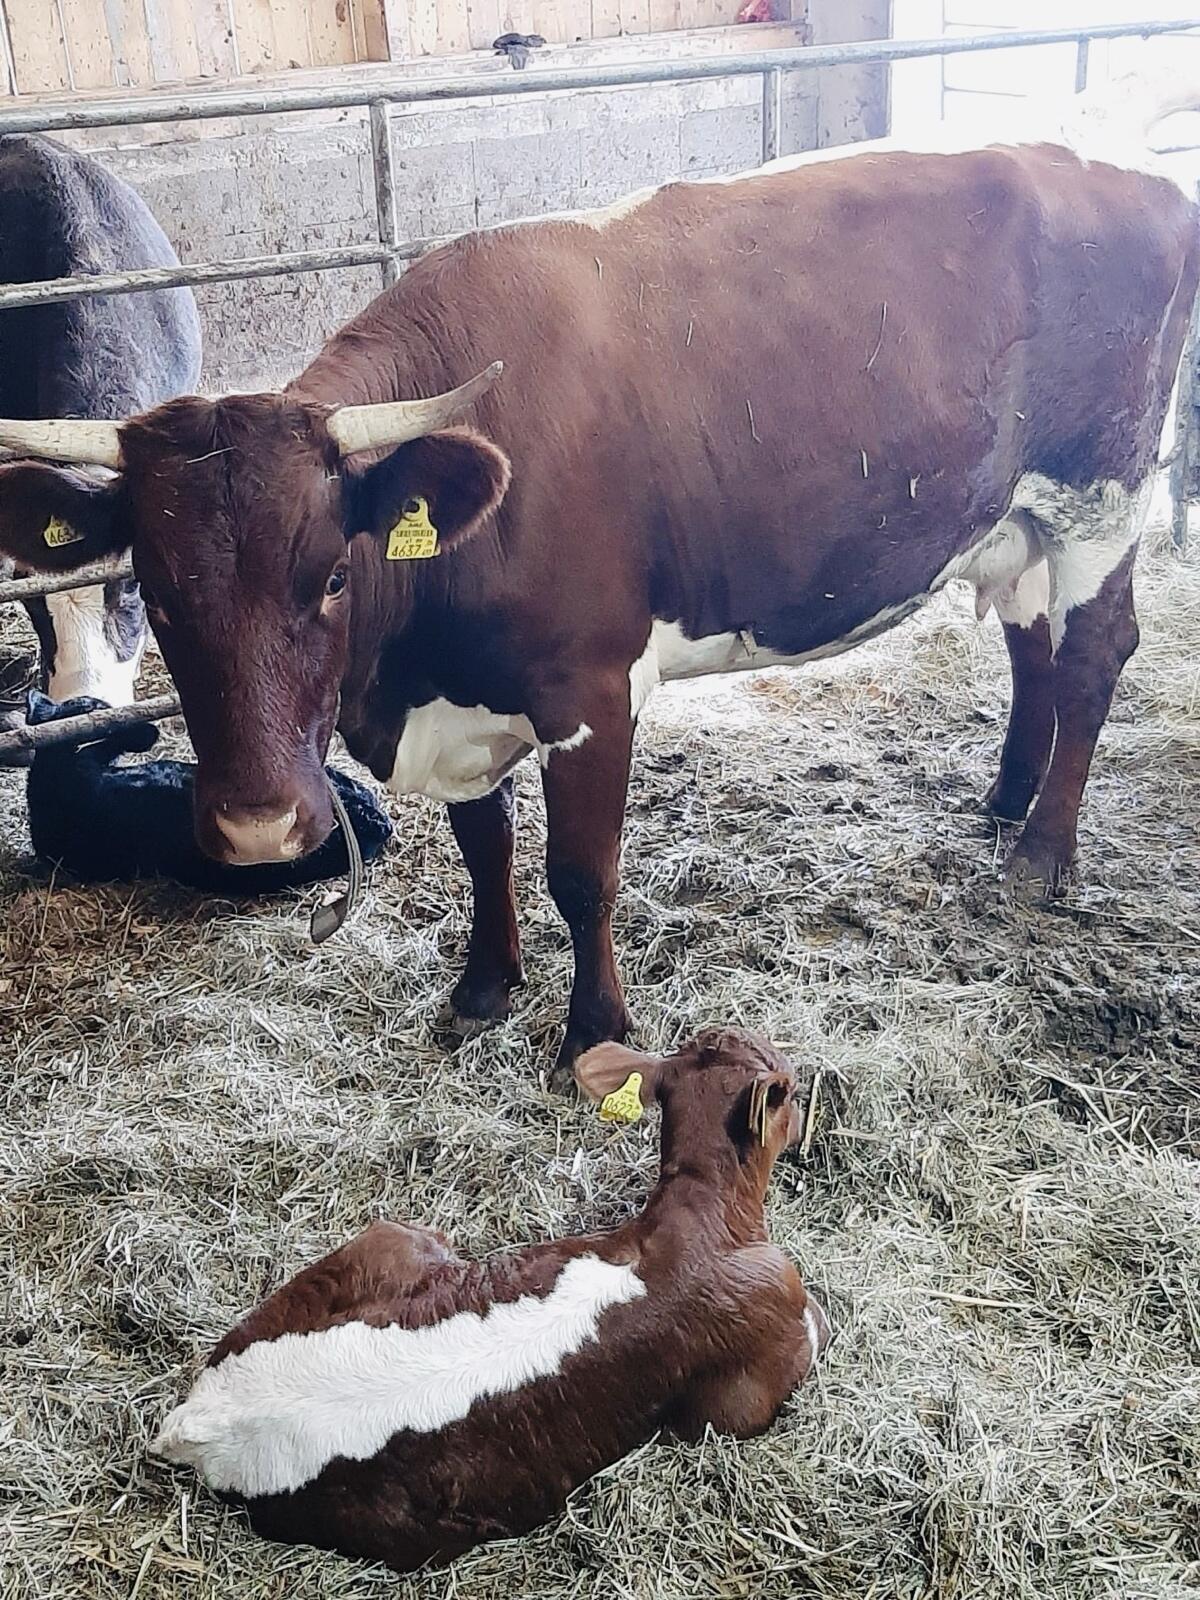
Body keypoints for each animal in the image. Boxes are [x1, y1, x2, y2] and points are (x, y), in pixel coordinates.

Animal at [152, 1028, 831, 1574]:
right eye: (794, 1090)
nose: (807, 1123)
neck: (699, 1215)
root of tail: (200, 1420)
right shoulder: (762, 1357)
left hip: (388, 1240)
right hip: (424, 1537)